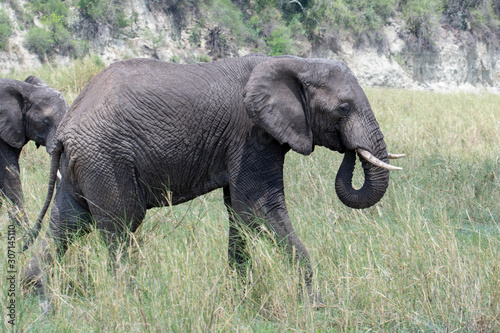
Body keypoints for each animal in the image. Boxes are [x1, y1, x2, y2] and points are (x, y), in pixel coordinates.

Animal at [25, 54, 404, 300]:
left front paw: (241, 296)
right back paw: (131, 300)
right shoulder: (251, 134)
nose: (350, 150)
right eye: (343, 108)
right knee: (120, 225)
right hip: (106, 159)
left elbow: (238, 212)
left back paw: (37, 297)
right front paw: (312, 305)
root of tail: (66, 127)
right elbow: (257, 207)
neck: (297, 62)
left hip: (84, 164)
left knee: (68, 223)